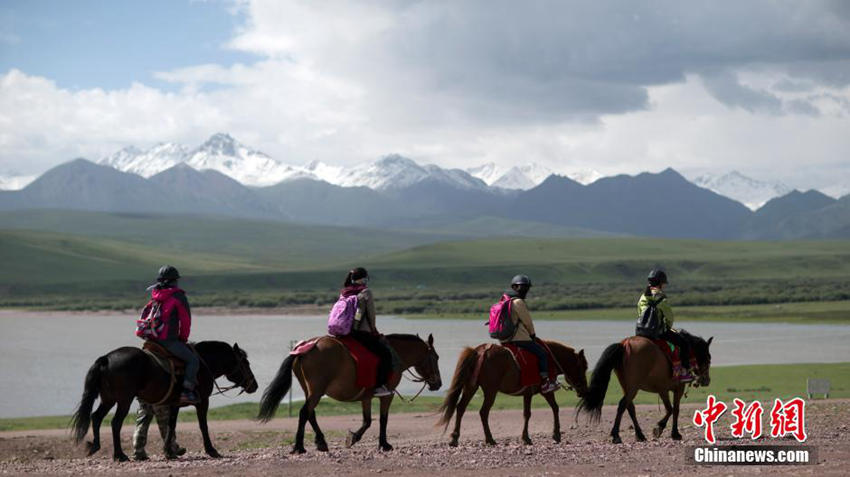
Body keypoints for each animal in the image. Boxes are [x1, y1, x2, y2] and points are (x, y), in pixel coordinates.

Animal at [71, 340, 256, 460]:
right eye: (245, 363)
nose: (254, 385)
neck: (203, 363)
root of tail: (106, 358)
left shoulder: (174, 404)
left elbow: (171, 426)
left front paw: (169, 452)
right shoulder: (202, 402)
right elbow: (203, 425)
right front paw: (211, 450)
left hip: (108, 399)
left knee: (96, 417)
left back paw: (95, 446)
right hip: (124, 400)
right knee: (115, 423)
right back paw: (120, 455)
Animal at [256, 332, 444, 452]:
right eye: (436, 357)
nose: (438, 383)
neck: (394, 354)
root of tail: (303, 349)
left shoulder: (366, 396)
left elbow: (367, 421)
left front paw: (353, 438)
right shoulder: (388, 395)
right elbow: (383, 419)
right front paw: (384, 444)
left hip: (310, 390)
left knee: (310, 413)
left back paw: (321, 442)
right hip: (316, 391)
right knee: (304, 413)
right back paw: (299, 447)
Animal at [434, 338, 588, 446]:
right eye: (583, 367)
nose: (584, 390)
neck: (550, 358)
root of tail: (480, 351)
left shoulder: (528, 394)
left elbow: (530, 413)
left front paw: (527, 437)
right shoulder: (545, 391)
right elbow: (551, 409)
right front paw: (554, 434)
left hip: (471, 387)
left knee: (461, 408)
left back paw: (454, 438)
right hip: (490, 390)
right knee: (483, 412)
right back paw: (490, 439)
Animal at [572, 328, 712, 442]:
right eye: (708, 358)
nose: (707, 381)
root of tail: (625, 344)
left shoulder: (663, 390)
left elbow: (669, 408)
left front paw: (661, 429)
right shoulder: (677, 388)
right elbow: (675, 409)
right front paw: (671, 432)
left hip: (627, 386)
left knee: (630, 407)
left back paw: (639, 435)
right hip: (633, 387)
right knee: (623, 405)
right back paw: (616, 435)